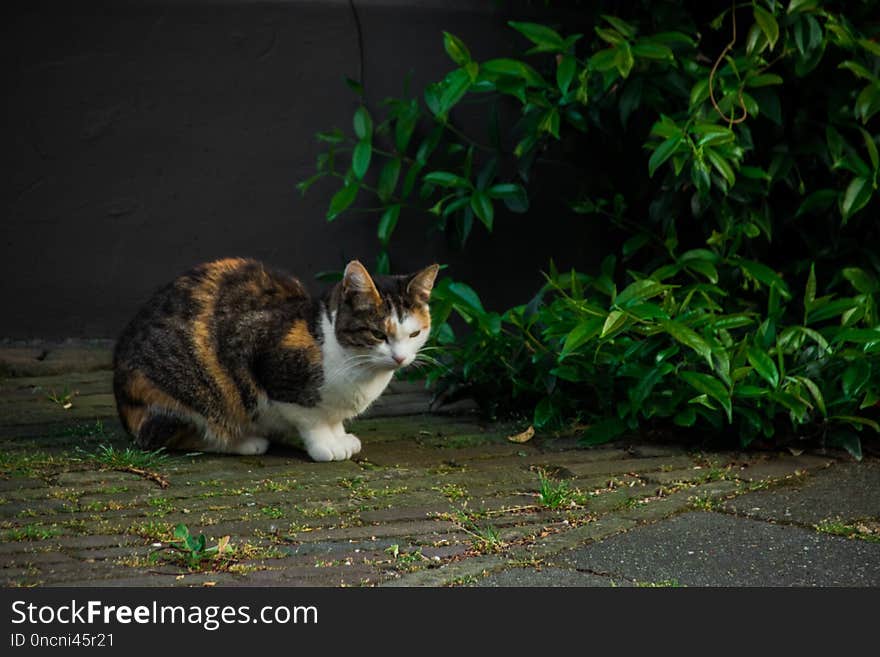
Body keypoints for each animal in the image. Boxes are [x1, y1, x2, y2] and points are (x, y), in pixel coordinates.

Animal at [113, 256, 436, 462]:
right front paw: (325, 445)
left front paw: (341, 436)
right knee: (165, 437)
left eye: (415, 333)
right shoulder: (268, 364)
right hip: (184, 394)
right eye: (378, 334)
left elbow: (333, 418)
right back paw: (244, 442)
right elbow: (311, 418)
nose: (400, 358)